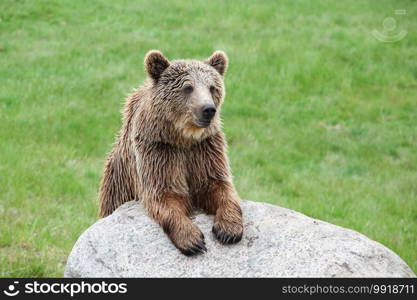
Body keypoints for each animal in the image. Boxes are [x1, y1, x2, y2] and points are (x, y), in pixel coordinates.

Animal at [98, 49, 242, 255]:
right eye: (188, 87)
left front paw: (229, 229)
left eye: (212, 87)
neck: (183, 138)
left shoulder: (205, 148)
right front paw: (192, 240)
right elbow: (165, 194)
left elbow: (218, 186)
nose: (208, 109)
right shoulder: (159, 150)